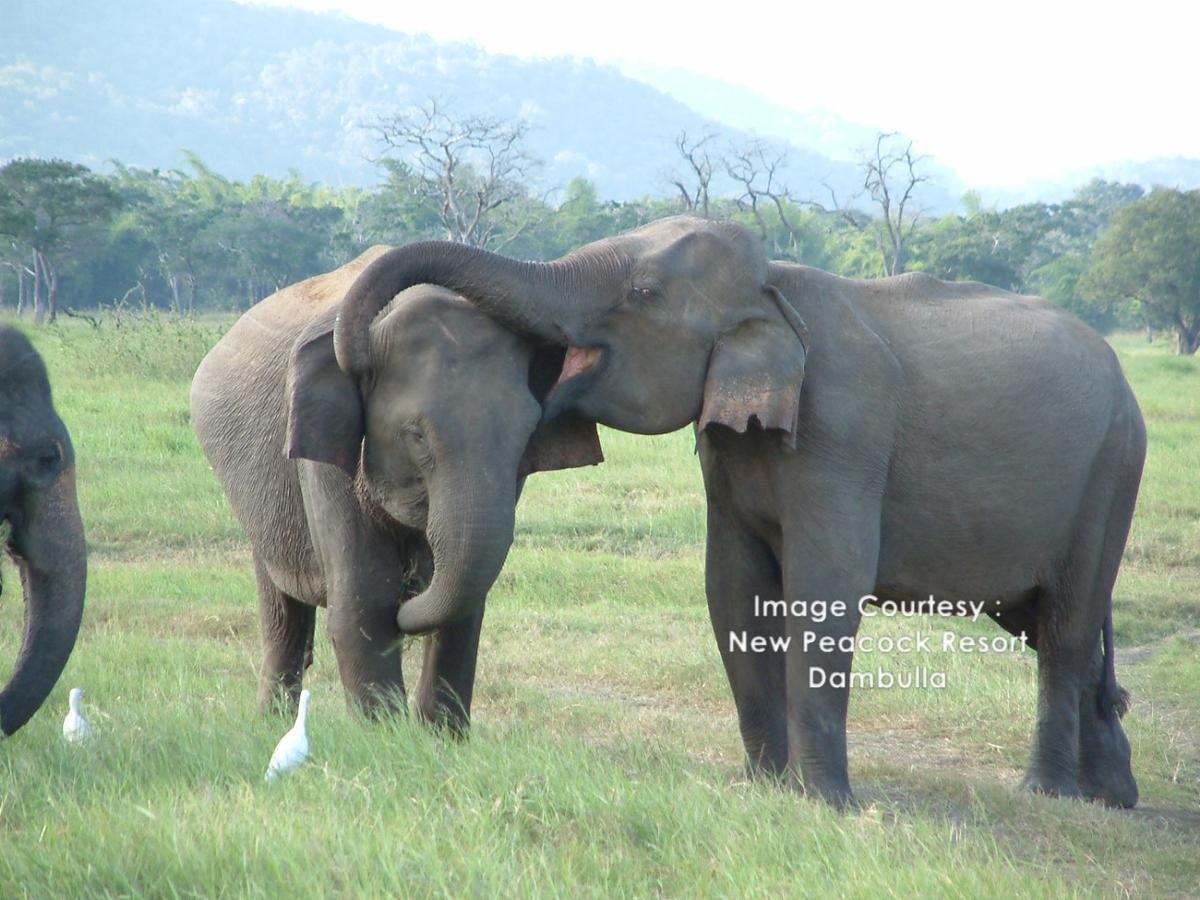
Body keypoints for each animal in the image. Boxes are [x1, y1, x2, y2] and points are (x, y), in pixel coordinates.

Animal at [190, 250, 600, 729]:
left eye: (526, 435)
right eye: (416, 436)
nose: (413, 592)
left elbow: (465, 605)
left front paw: (440, 736)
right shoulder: (326, 456)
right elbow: (364, 602)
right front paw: (383, 734)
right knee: (280, 606)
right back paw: (273, 723)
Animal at [324, 217, 1147, 811]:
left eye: (644, 291)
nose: (356, 349)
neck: (772, 286)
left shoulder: (842, 432)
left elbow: (823, 592)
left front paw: (826, 806)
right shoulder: (726, 448)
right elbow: (732, 587)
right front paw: (764, 789)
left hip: (1114, 469)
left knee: (1068, 623)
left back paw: (1050, 794)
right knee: (1054, 626)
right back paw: (1112, 795)